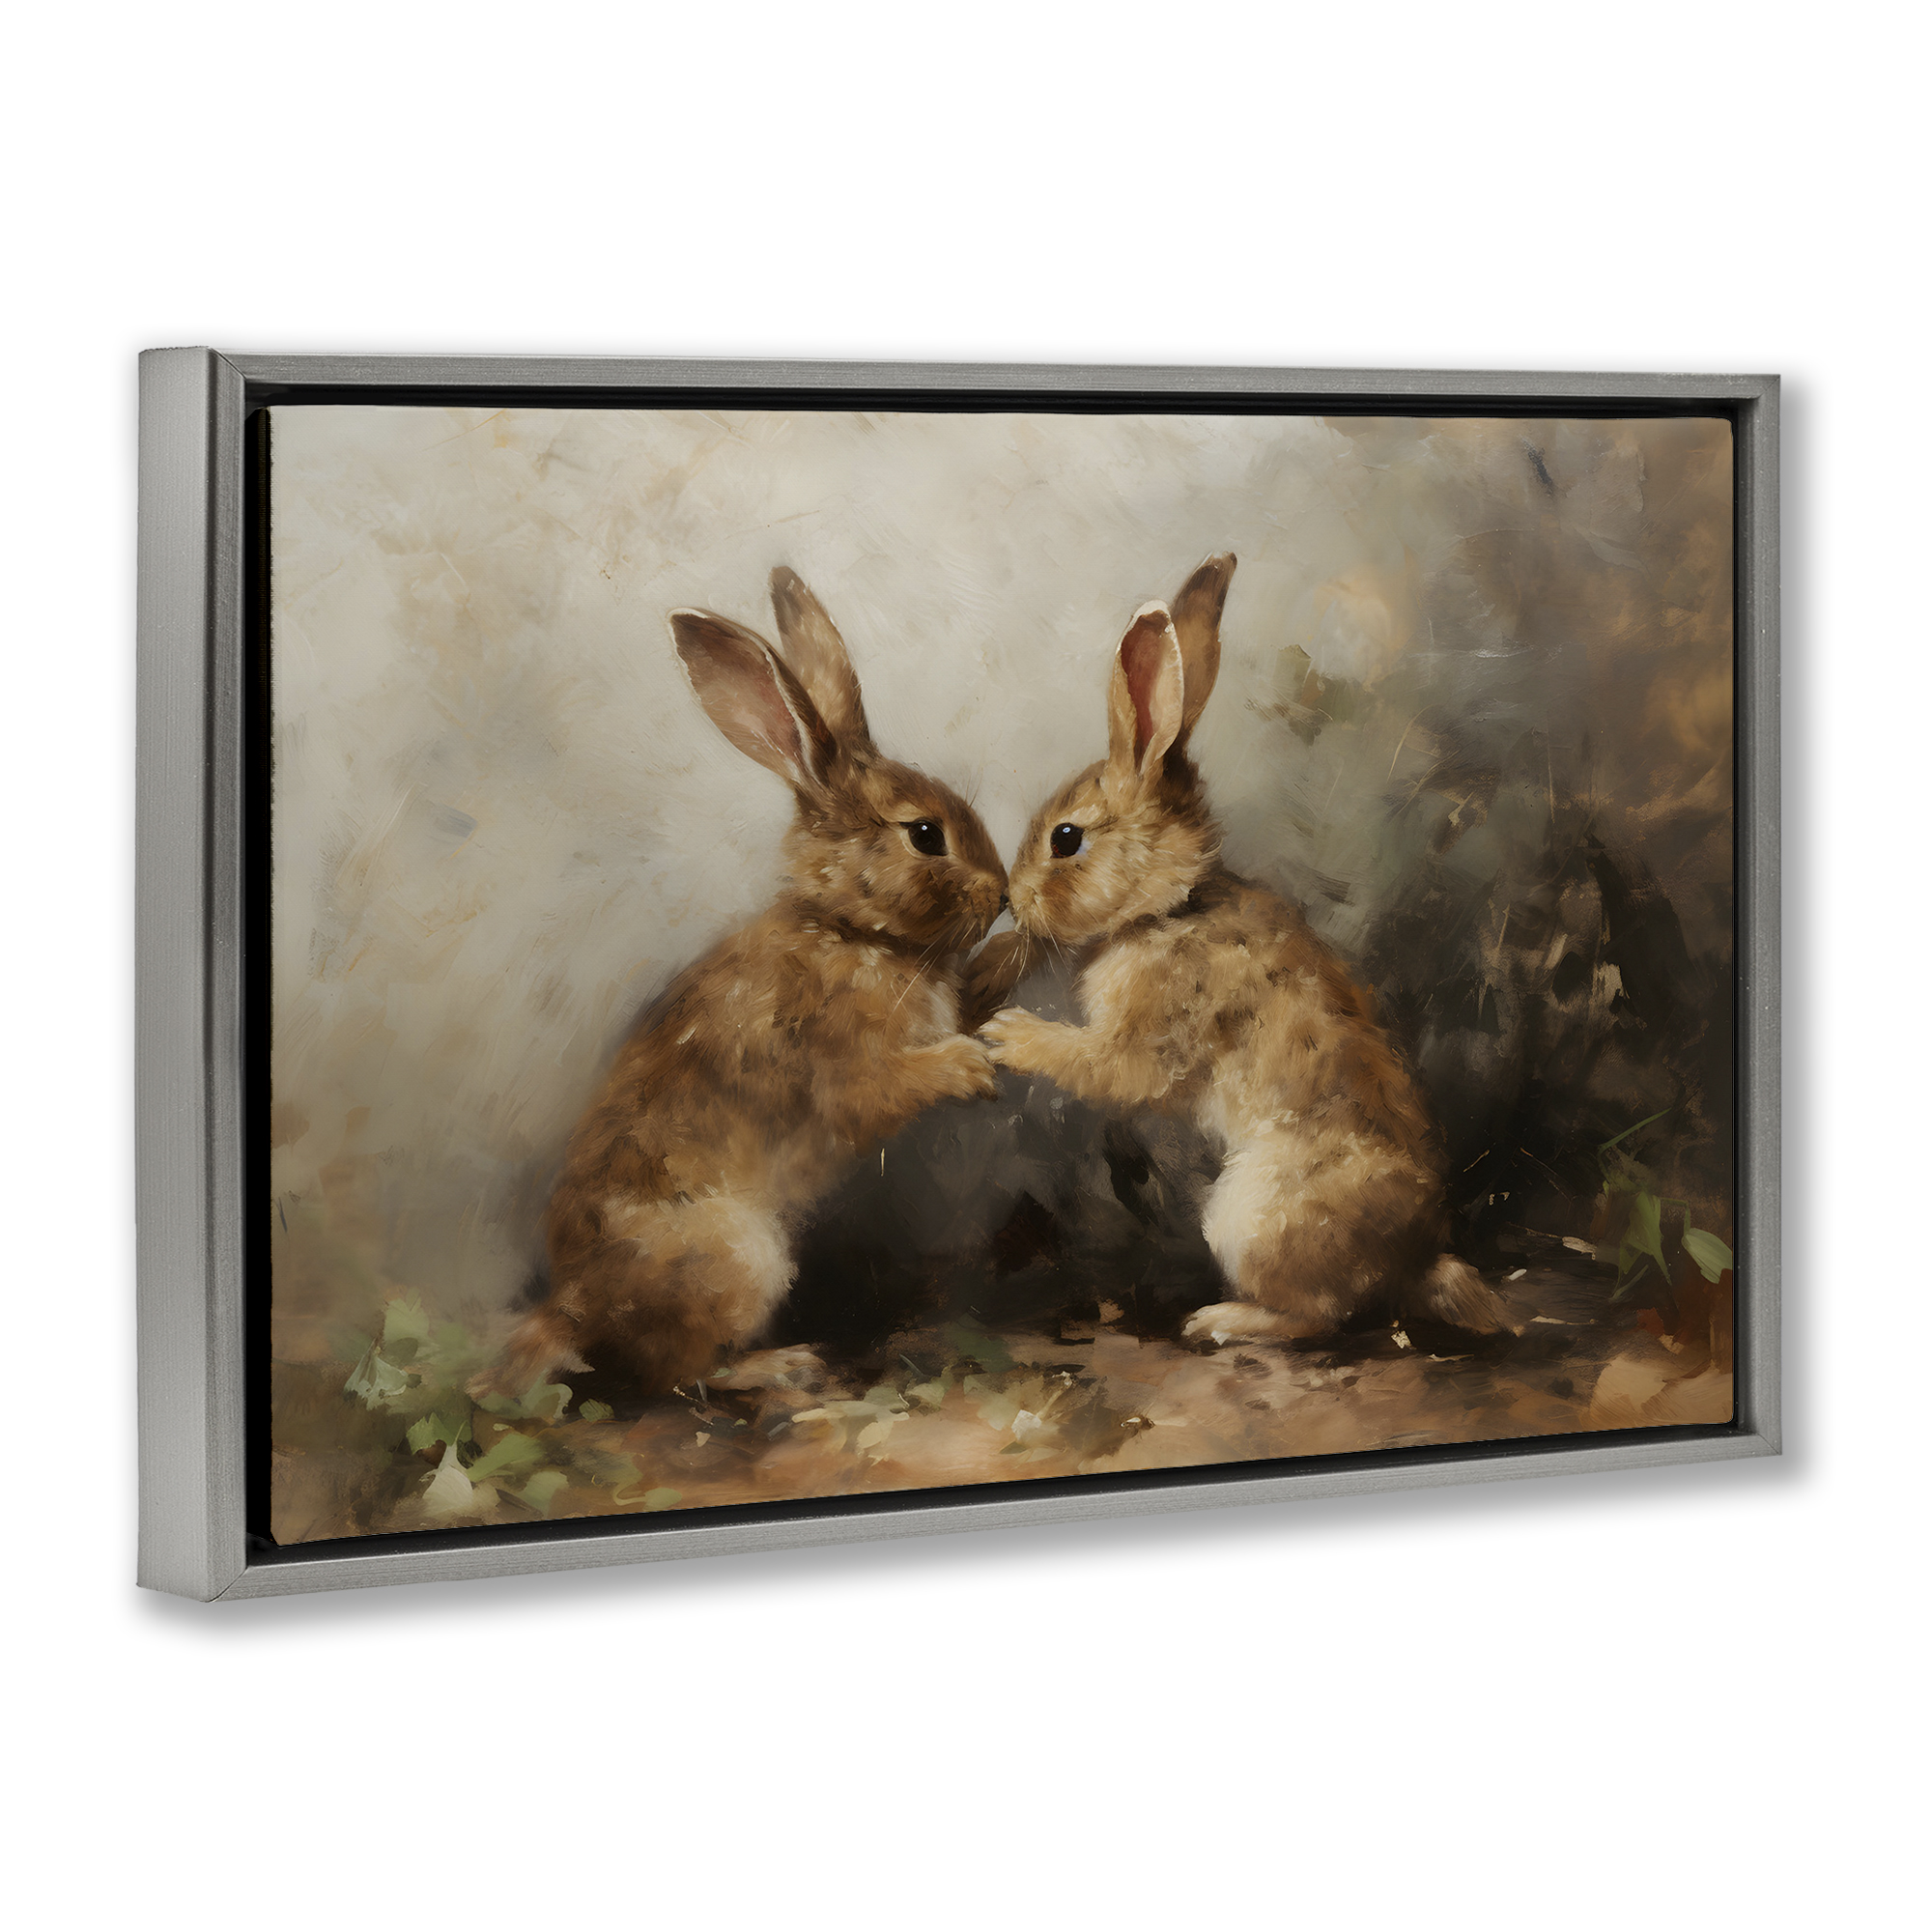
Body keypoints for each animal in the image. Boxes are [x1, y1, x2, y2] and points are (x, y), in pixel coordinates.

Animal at [475, 568, 1009, 1403]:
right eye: (925, 835)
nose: (1005, 894)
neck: (849, 926)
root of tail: (575, 1310)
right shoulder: (845, 1066)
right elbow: (883, 1089)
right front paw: (970, 1067)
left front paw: (1010, 959)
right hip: (740, 1259)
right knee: (678, 1376)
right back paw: (781, 1364)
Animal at [977, 553, 1517, 1348]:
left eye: (1067, 839)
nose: (1012, 900)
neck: (1168, 907)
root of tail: (1415, 1265)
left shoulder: (1153, 1035)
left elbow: (1108, 1068)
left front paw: (1010, 1035)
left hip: (1249, 1215)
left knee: (1319, 1315)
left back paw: (1220, 1320)